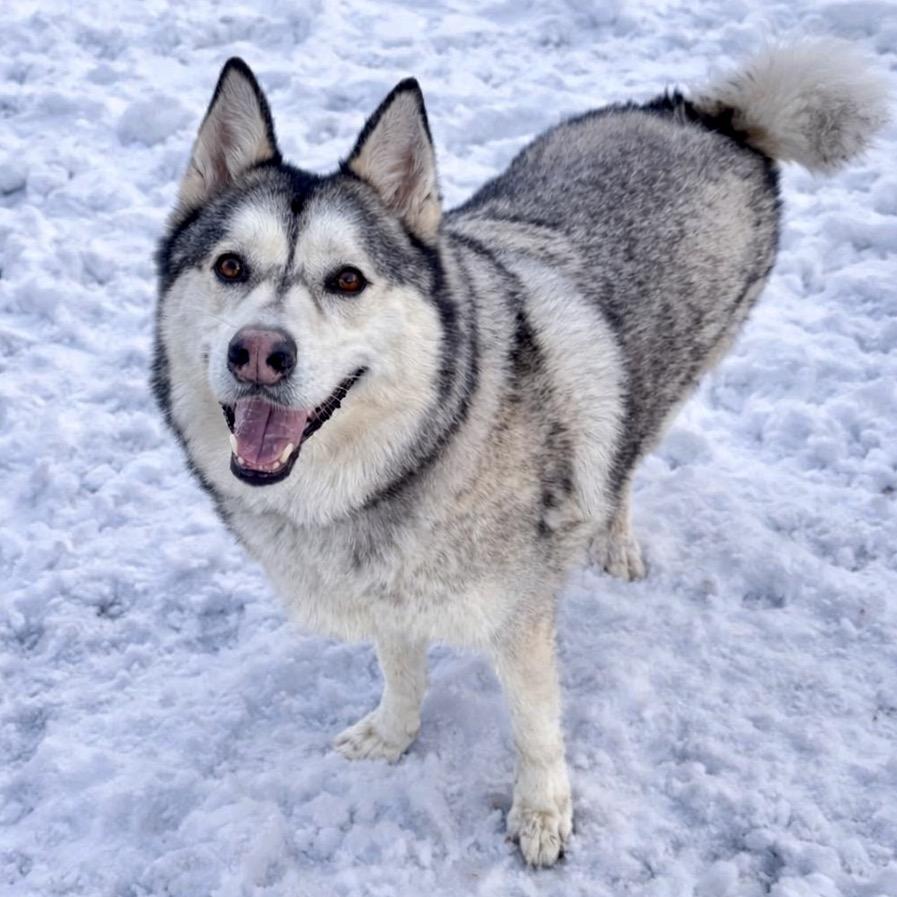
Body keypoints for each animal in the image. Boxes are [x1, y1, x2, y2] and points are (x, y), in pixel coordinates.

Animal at [152, 40, 888, 865]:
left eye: (346, 279)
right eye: (229, 266)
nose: (258, 352)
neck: (415, 454)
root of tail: (707, 115)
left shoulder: (518, 617)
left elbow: (534, 725)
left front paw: (541, 813)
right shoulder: (387, 592)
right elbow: (400, 670)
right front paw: (392, 736)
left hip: (670, 376)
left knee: (624, 461)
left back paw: (615, 539)